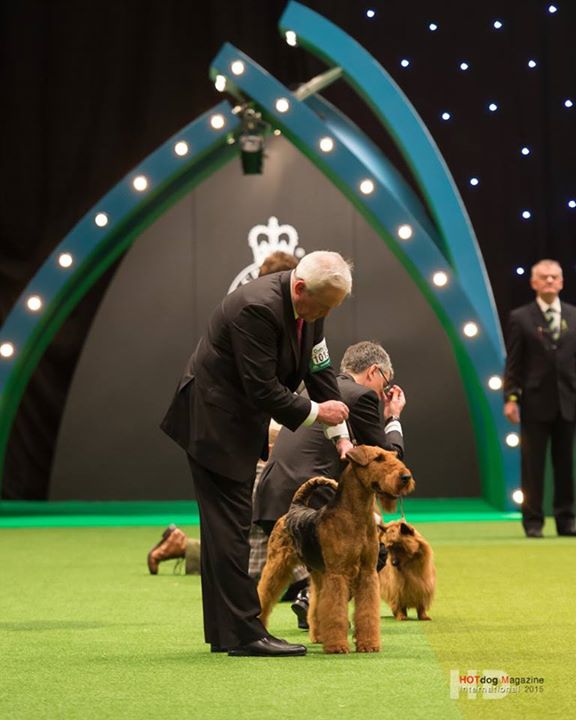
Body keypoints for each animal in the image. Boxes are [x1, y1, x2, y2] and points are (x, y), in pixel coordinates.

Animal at [257, 445, 415, 654]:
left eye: (392, 457)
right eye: (379, 458)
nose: (406, 477)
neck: (355, 515)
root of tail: (295, 507)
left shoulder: (367, 573)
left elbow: (366, 612)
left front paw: (369, 644)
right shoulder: (338, 573)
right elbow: (336, 610)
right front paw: (338, 646)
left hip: (318, 572)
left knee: (316, 602)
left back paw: (318, 635)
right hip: (278, 564)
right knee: (265, 593)